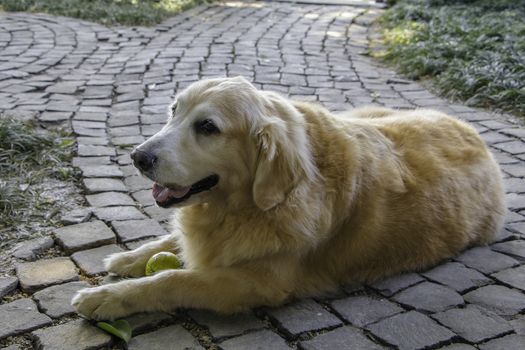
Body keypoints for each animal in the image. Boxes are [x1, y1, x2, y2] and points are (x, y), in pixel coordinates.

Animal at [71, 76, 506, 320]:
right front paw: (127, 258)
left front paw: (109, 297)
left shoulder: (254, 283)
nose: (138, 157)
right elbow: (171, 239)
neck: (249, 205)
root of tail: (477, 135)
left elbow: (171, 278)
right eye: (173, 111)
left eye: (208, 127)